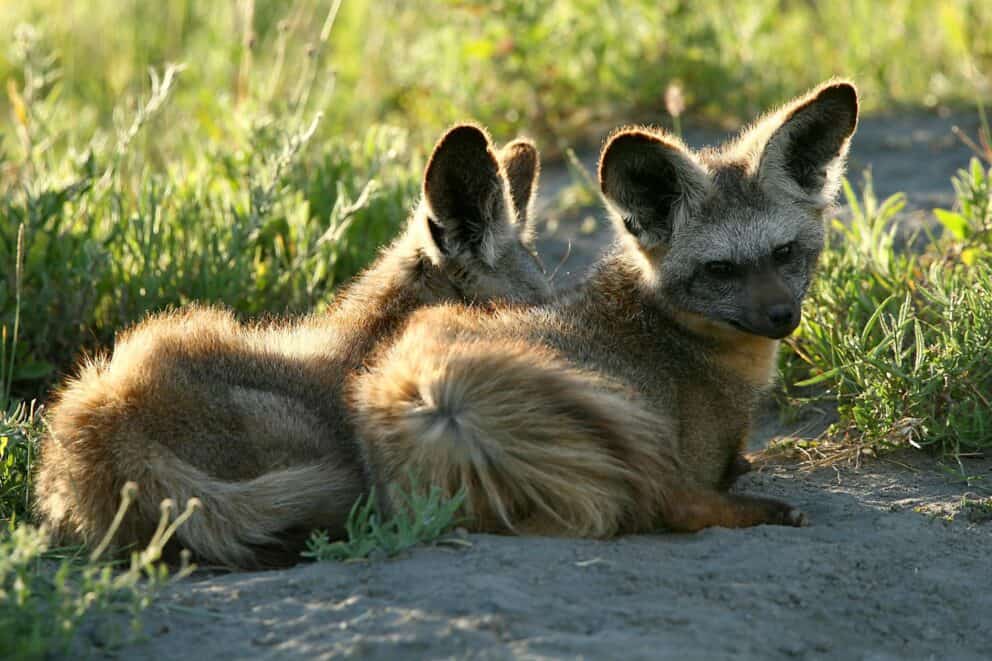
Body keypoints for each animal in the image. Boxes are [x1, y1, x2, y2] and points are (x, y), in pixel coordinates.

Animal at [350, 81, 859, 536]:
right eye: (720, 269)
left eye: (784, 252)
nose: (782, 316)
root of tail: (434, 400)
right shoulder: (692, 453)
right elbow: (707, 485)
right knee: (676, 507)